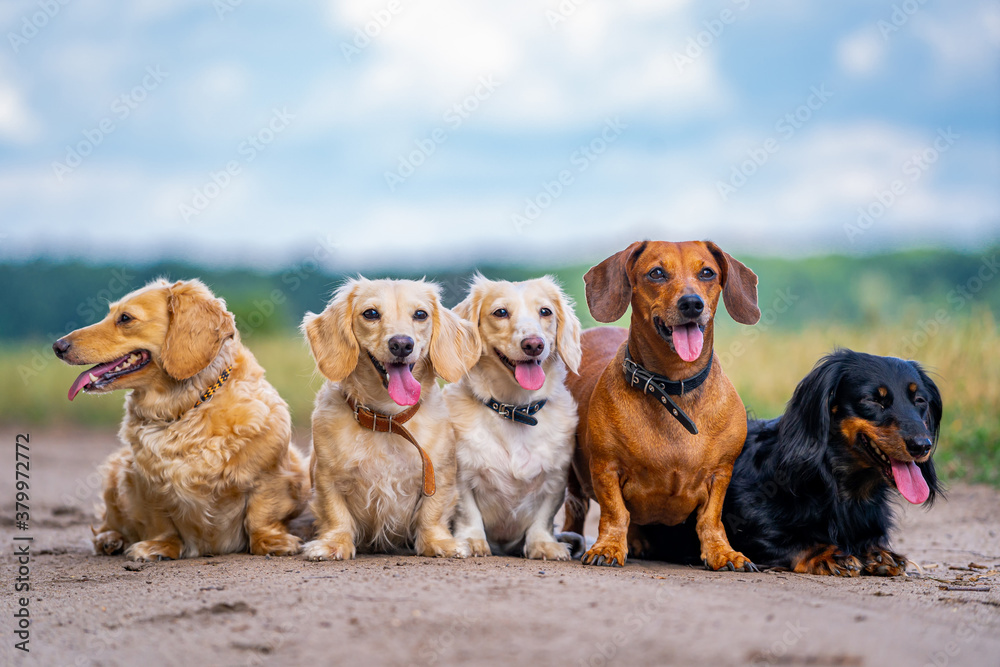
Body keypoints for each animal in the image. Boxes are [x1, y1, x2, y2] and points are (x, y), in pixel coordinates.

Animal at [50, 280, 306, 560]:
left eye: (125, 318)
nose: (58, 346)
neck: (183, 409)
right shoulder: (147, 485)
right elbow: (161, 525)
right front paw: (158, 547)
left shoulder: (269, 474)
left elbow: (261, 514)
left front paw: (272, 542)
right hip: (115, 475)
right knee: (109, 523)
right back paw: (109, 540)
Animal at [300, 280, 480, 560]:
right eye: (371, 313)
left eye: (420, 314)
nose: (402, 344)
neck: (387, 419)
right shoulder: (327, 477)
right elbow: (335, 514)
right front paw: (333, 544)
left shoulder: (439, 475)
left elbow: (432, 513)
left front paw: (439, 543)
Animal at [448, 276, 584, 560]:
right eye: (500, 312)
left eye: (546, 311)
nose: (534, 344)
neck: (516, 409)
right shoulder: (462, 475)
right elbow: (468, 513)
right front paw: (472, 541)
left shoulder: (555, 480)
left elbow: (543, 518)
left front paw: (543, 544)